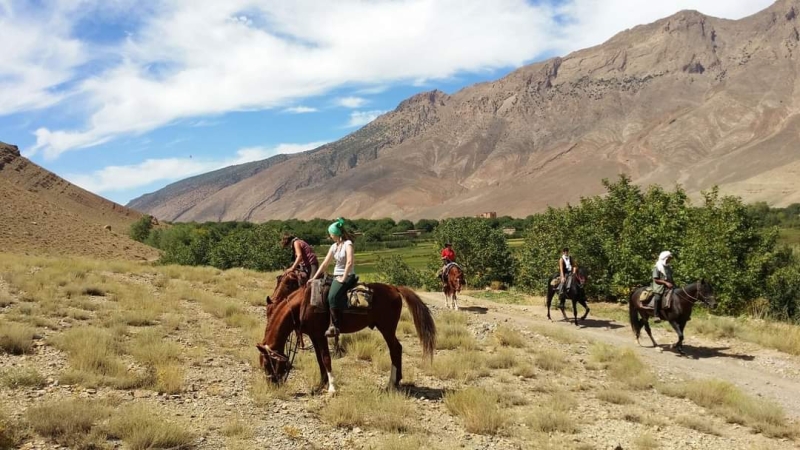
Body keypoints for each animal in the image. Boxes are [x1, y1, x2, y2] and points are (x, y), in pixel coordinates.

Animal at [256, 272, 434, 392]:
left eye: (266, 363)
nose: (271, 384)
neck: (303, 304)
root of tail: (394, 289)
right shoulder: (314, 336)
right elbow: (319, 360)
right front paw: (321, 384)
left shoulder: (321, 335)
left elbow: (326, 359)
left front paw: (332, 388)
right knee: (397, 349)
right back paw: (396, 381)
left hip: (387, 328)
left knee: (395, 349)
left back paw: (391, 383)